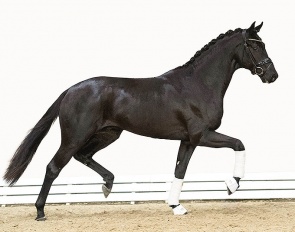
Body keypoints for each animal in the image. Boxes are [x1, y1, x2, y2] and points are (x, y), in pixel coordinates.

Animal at [4, 21, 278, 219]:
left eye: (262, 44)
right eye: (255, 46)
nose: (272, 75)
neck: (198, 84)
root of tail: (70, 90)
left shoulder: (188, 140)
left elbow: (180, 170)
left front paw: (176, 206)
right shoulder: (202, 135)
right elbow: (239, 143)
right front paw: (232, 185)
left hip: (109, 133)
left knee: (83, 156)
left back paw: (107, 185)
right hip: (75, 137)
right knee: (54, 166)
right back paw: (40, 211)